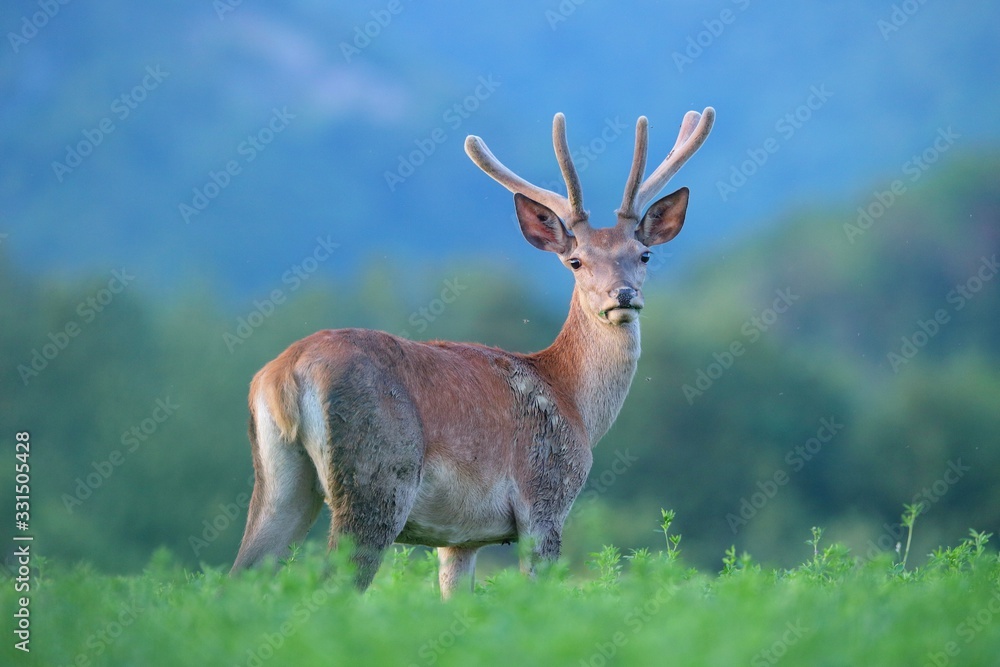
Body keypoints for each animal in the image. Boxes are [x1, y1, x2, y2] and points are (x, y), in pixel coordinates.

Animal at [230, 107, 715, 598]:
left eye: (644, 254)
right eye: (576, 261)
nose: (623, 295)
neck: (574, 402)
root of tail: (286, 374)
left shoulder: (460, 537)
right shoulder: (544, 497)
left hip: (279, 480)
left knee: (241, 572)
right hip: (378, 476)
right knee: (336, 581)